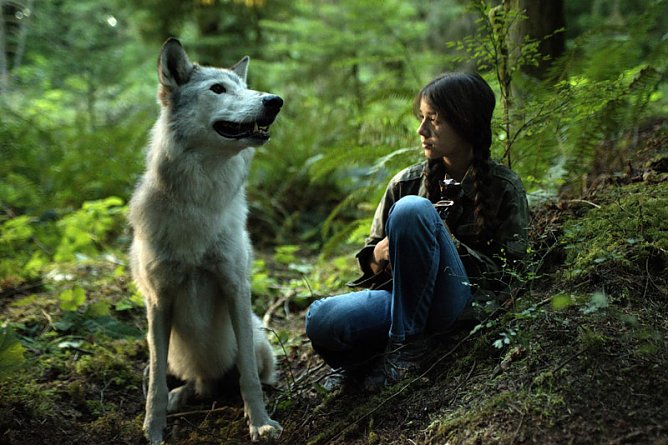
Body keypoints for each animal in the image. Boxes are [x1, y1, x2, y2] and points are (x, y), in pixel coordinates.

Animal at [128, 38, 283, 443]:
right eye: (218, 89)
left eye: (245, 86)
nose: (275, 100)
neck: (197, 202)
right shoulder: (159, 301)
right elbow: (155, 384)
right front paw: (153, 429)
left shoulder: (235, 287)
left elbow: (248, 376)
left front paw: (260, 422)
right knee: (192, 383)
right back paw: (183, 395)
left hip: (258, 336)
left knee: (247, 376)